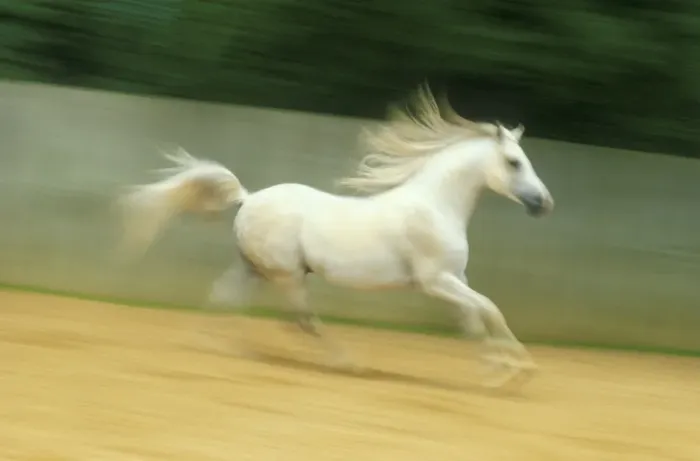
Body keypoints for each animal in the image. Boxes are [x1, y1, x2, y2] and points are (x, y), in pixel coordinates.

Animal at [117, 84, 554, 388]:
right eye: (514, 162)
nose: (544, 204)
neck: (435, 206)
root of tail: (249, 197)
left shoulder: (454, 280)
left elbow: (476, 321)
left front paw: (498, 371)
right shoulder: (436, 281)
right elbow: (490, 310)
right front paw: (520, 370)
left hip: (255, 269)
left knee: (225, 300)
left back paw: (217, 348)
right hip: (287, 275)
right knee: (303, 320)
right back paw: (348, 362)